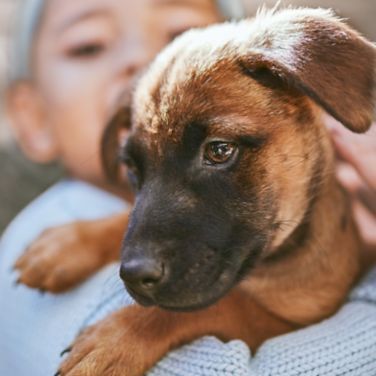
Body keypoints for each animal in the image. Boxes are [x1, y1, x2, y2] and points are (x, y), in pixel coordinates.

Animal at [19, 6, 376, 376]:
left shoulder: (295, 316)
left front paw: (116, 336)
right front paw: (70, 242)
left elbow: (217, 306)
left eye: (219, 150)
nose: (133, 276)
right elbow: (127, 218)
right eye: (132, 169)